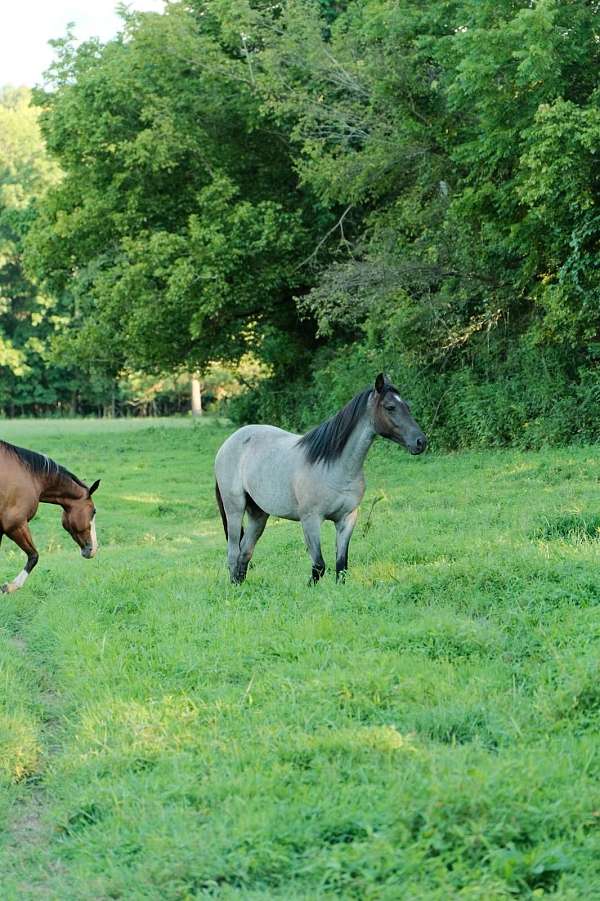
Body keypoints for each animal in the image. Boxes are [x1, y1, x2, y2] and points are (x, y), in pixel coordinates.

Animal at [0, 440, 100, 594]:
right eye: (93, 511)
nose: (93, 549)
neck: (30, 477)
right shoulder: (15, 525)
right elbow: (34, 556)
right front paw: (11, 586)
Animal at [215, 373, 427, 584]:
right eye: (390, 407)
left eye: (407, 406)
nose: (421, 442)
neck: (335, 468)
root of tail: (228, 443)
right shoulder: (311, 520)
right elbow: (319, 566)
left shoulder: (347, 519)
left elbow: (341, 567)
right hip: (235, 510)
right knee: (233, 554)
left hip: (258, 514)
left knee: (245, 553)